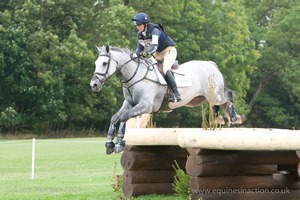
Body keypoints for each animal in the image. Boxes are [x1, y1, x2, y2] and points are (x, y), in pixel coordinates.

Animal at [89, 45, 244, 155]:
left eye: (104, 63)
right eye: (95, 63)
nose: (94, 84)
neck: (135, 75)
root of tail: (211, 65)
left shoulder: (145, 106)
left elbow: (124, 118)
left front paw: (120, 143)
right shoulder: (129, 104)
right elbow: (115, 118)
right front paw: (109, 144)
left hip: (216, 95)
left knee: (228, 96)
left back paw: (234, 117)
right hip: (200, 99)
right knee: (215, 106)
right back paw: (216, 119)